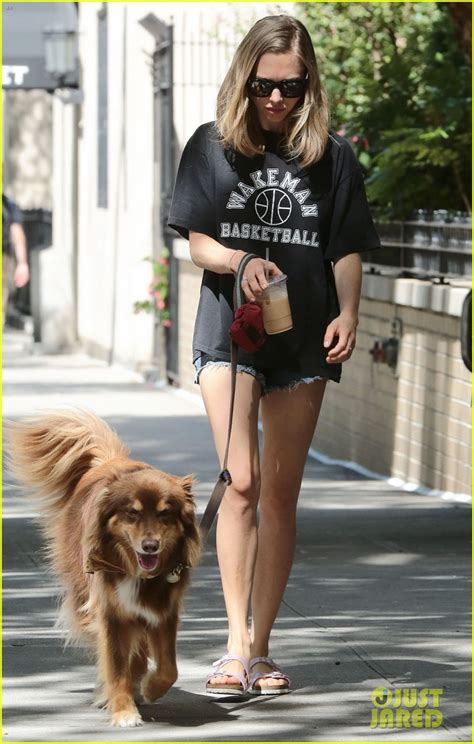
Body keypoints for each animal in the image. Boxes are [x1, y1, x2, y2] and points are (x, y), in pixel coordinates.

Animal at [6, 406, 202, 728]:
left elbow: (168, 668)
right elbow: (116, 666)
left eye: (165, 514)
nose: (151, 547)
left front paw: (149, 687)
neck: (137, 573)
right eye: (132, 513)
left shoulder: (163, 611)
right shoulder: (110, 612)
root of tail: (111, 460)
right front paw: (123, 711)